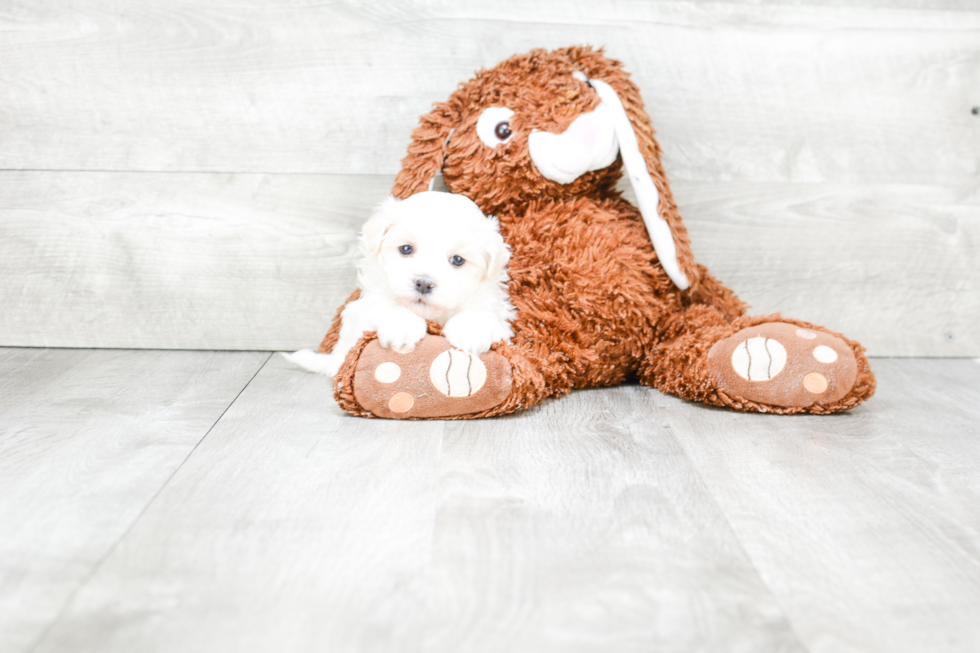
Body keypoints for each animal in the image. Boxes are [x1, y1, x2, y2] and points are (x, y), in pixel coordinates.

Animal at [282, 191, 512, 376]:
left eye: (457, 260)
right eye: (406, 249)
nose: (423, 283)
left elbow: (481, 312)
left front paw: (470, 331)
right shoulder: (366, 305)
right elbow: (386, 305)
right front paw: (403, 325)